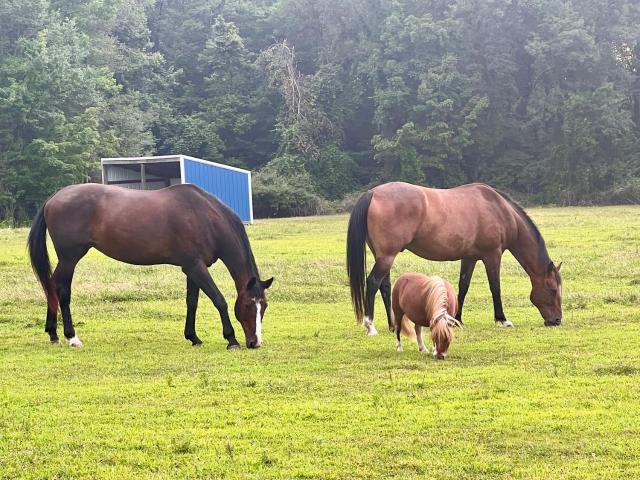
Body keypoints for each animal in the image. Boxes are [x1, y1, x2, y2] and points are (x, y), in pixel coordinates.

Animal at [28, 183, 272, 348]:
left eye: (264, 307)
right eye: (248, 305)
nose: (255, 342)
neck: (204, 217)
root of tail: (54, 198)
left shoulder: (192, 268)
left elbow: (191, 302)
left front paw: (193, 337)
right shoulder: (196, 267)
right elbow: (219, 300)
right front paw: (231, 339)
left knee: (51, 287)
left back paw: (53, 334)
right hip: (70, 258)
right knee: (61, 290)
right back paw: (71, 337)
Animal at [348, 182, 564, 336]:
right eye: (553, 290)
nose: (556, 321)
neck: (500, 211)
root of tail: (372, 193)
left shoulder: (469, 258)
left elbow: (463, 287)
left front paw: (456, 319)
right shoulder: (492, 255)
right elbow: (495, 287)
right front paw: (502, 319)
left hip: (383, 256)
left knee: (384, 286)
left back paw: (393, 325)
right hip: (387, 256)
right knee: (373, 283)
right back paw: (370, 326)